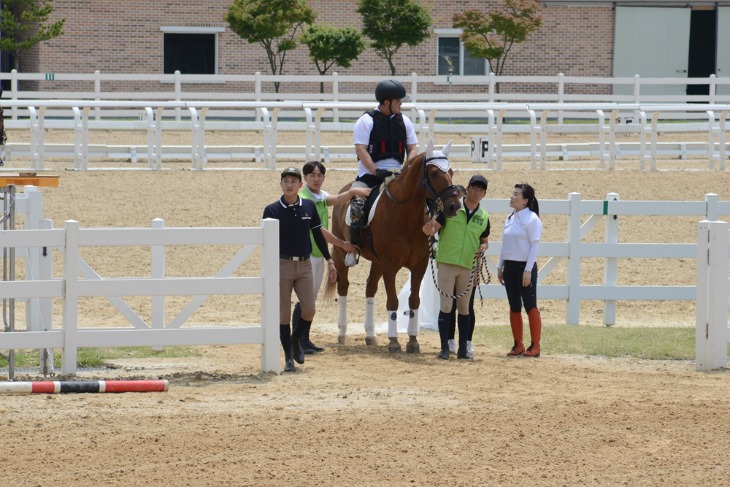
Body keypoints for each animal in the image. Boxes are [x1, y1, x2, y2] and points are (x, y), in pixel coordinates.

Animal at [328, 139, 464, 352]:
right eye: (434, 173)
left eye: (451, 172)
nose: (454, 207)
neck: (406, 215)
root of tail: (345, 190)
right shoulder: (390, 265)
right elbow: (392, 301)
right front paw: (393, 341)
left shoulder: (419, 265)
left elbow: (414, 301)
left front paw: (413, 341)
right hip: (342, 252)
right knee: (343, 287)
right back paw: (342, 333)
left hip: (377, 262)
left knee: (370, 288)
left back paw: (370, 335)